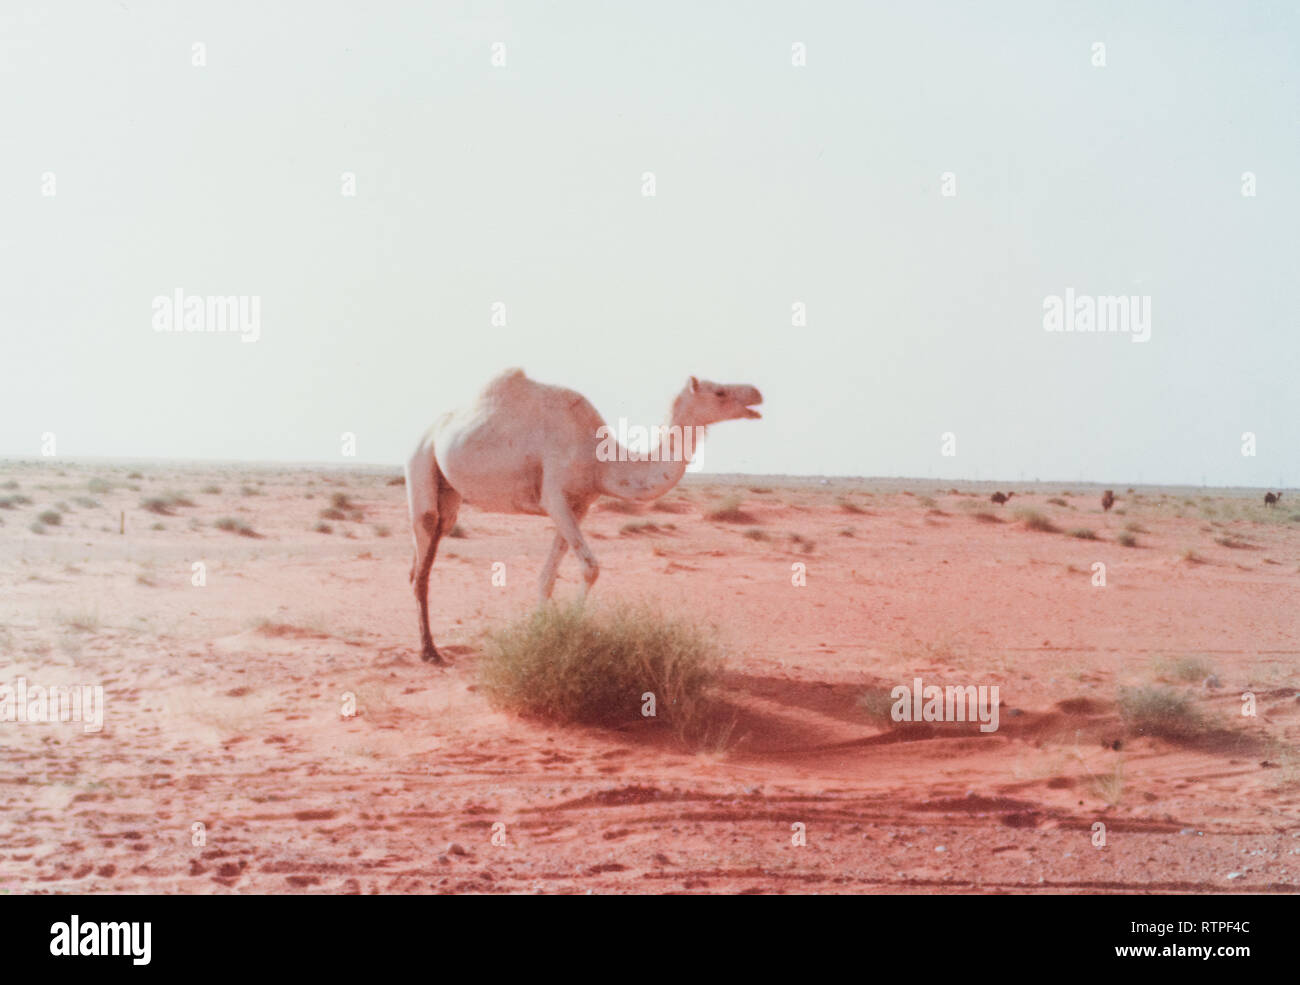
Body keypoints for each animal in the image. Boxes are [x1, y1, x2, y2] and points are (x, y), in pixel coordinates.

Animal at [405, 369, 759, 662]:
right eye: (719, 392)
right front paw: (573, 634)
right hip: (420, 461)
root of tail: (428, 431)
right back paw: (429, 651)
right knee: (422, 556)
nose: (756, 394)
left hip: (449, 494)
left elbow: (547, 576)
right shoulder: (555, 497)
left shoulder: (581, 504)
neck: (601, 459)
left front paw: (542, 636)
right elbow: (590, 568)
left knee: (428, 549)